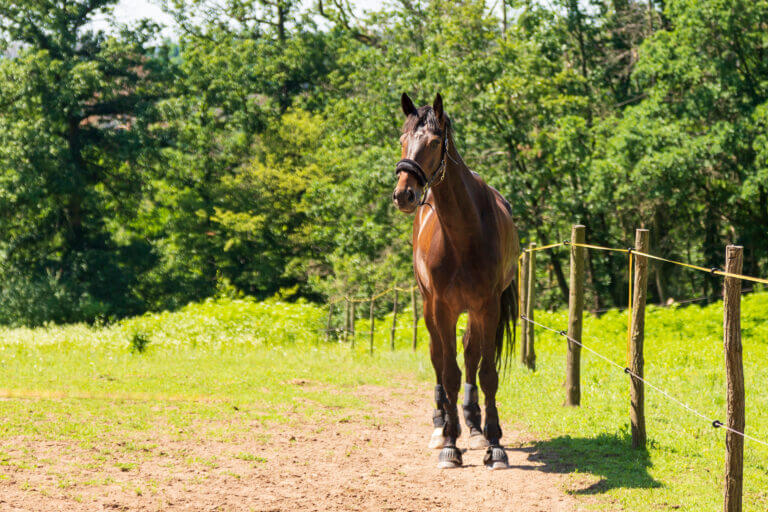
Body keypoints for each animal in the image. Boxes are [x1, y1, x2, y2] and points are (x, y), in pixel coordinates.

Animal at [392, 92, 520, 468]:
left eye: (435, 143)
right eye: (403, 139)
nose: (403, 194)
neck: (464, 234)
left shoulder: (487, 307)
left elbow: (486, 373)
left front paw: (494, 443)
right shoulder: (443, 308)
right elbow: (448, 372)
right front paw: (450, 443)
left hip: (475, 313)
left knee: (471, 354)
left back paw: (474, 428)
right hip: (429, 309)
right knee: (438, 357)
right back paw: (441, 426)